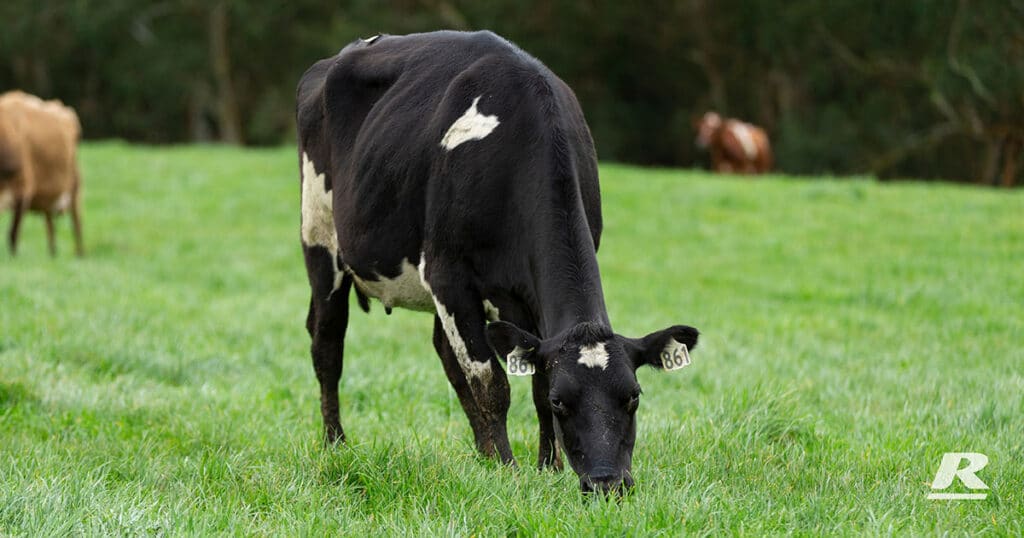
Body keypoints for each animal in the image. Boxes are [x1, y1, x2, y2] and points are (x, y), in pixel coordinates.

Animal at [0, 90, 84, 256]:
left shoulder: (22, 189)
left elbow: (12, 234)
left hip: (74, 187)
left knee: (76, 223)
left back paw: (79, 255)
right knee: (50, 225)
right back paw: (53, 255)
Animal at [297, 31, 700, 495]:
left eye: (633, 396)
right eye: (564, 403)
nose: (606, 483)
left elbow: (532, 378)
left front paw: (547, 467)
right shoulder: (449, 277)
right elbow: (491, 382)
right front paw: (508, 469)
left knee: (446, 354)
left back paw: (481, 453)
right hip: (320, 238)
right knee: (327, 344)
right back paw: (336, 444)